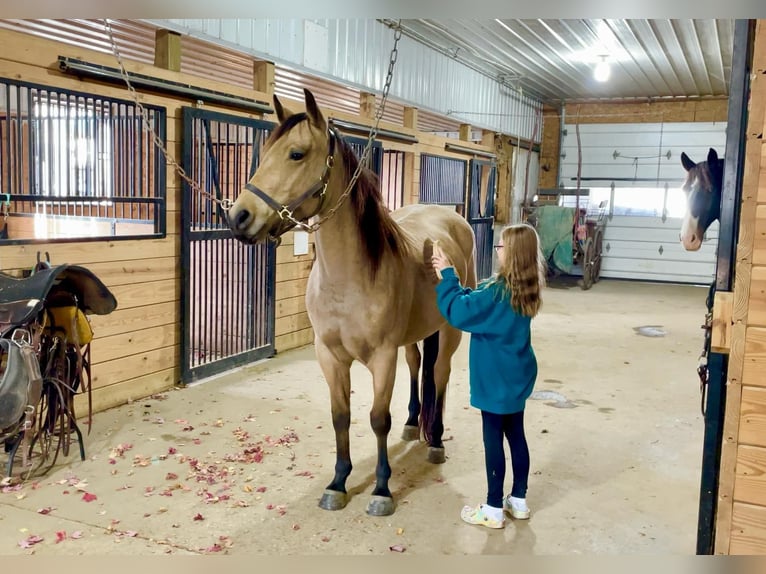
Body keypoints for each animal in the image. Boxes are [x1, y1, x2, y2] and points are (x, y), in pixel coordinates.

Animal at [225, 89, 476, 516]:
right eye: (264, 152)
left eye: (296, 154)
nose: (239, 217)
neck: (349, 280)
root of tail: (451, 220)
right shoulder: (329, 355)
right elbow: (340, 416)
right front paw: (338, 483)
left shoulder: (382, 357)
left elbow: (377, 419)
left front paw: (381, 489)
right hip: (414, 335)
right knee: (418, 366)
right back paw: (414, 423)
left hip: (449, 332)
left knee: (439, 376)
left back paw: (437, 441)